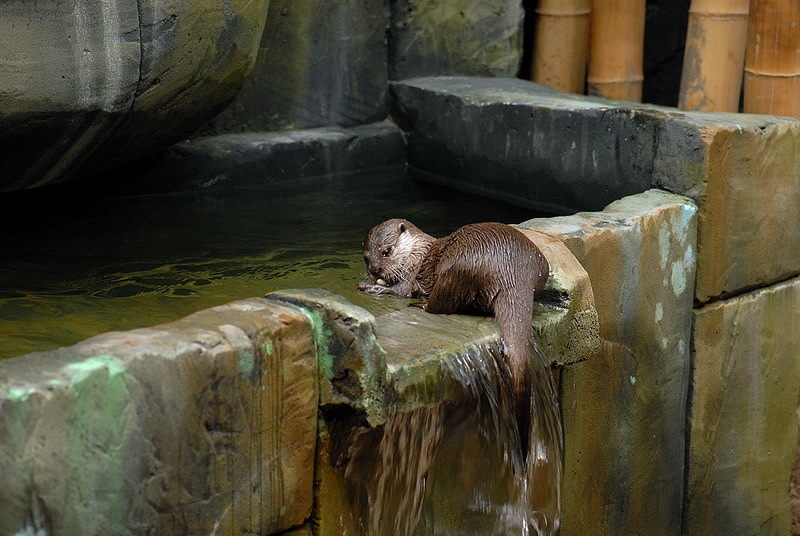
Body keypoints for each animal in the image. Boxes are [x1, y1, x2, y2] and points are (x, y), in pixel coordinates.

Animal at [357, 218, 549, 460]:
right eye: (366, 257)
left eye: (386, 251)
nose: (374, 269)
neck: (416, 253)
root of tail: (512, 270)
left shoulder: (411, 274)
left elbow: (401, 290)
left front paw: (372, 286)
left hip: (455, 269)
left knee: (440, 304)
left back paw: (421, 305)